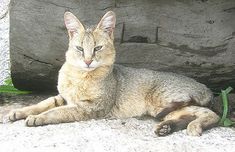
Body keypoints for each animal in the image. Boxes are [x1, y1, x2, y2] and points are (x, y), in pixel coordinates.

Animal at [7, 11, 220, 136]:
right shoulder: (64, 97)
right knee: (194, 114)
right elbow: (43, 103)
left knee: (212, 114)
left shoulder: (92, 107)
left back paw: (194, 127)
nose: (87, 61)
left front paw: (37, 118)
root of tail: (205, 87)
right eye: (79, 48)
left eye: (98, 48)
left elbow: (58, 112)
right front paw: (19, 112)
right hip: (164, 109)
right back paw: (167, 128)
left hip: (162, 101)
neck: (79, 77)